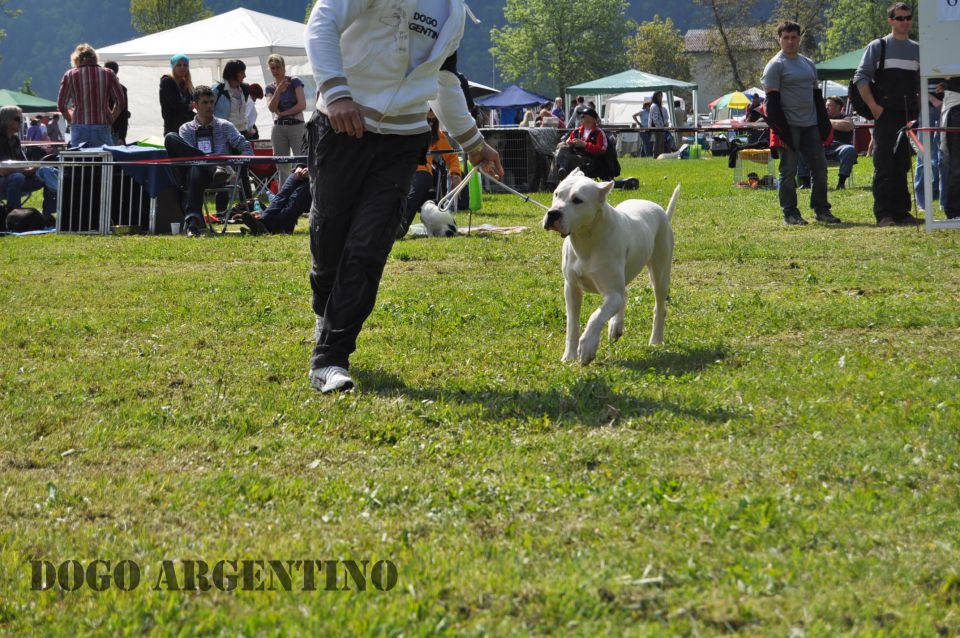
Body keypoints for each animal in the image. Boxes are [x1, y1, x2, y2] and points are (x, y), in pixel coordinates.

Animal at [540, 170, 684, 368]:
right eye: (556, 193)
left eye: (577, 200)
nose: (553, 213)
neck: (586, 238)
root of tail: (660, 211)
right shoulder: (571, 289)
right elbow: (572, 324)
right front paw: (569, 355)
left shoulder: (612, 294)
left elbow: (596, 316)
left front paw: (587, 347)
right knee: (625, 294)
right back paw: (616, 326)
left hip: (660, 274)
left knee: (658, 307)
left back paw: (656, 340)